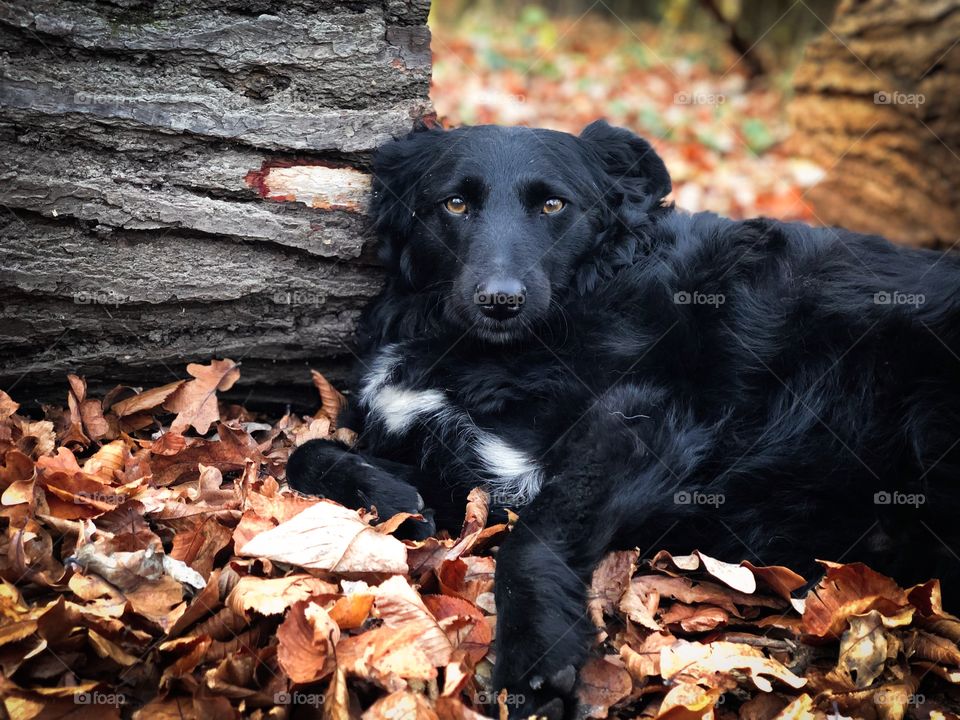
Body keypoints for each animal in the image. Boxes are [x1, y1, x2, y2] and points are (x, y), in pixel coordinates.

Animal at [288, 121, 960, 716]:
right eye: (454, 203)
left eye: (552, 205)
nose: (501, 301)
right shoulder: (471, 464)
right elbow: (306, 453)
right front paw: (393, 498)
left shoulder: (643, 421)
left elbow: (533, 539)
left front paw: (535, 655)